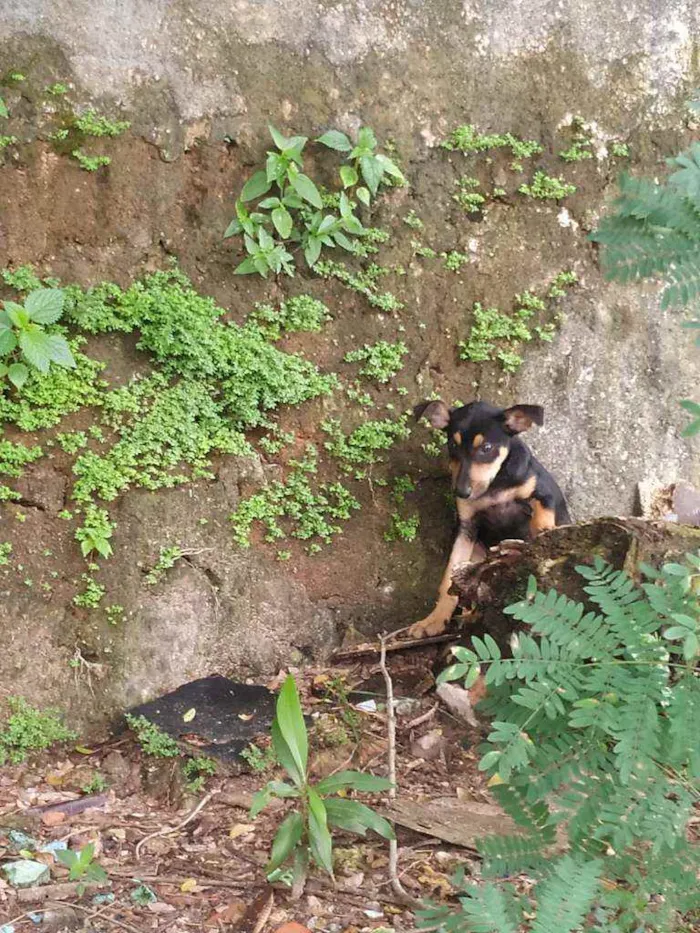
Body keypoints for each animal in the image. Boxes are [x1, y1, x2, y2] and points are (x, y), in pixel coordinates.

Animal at [410, 396, 568, 636]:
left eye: (486, 448)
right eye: (452, 445)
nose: (461, 492)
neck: (495, 485)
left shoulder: (546, 492)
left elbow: (542, 516)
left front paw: (543, 533)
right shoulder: (467, 527)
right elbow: (448, 579)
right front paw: (434, 620)